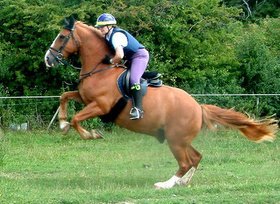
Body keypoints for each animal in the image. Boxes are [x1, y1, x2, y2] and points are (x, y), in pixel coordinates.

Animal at [44, 17, 278, 190]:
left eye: (62, 36)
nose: (48, 59)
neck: (101, 69)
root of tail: (198, 107)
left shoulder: (100, 106)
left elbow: (77, 119)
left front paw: (90, 134)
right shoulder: (85, 98)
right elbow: (64, 96)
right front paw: (62, 124)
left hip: (176, 140)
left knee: (186, 162)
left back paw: (166, 184)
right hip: (179, 138)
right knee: (196, 157)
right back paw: (182, 182)